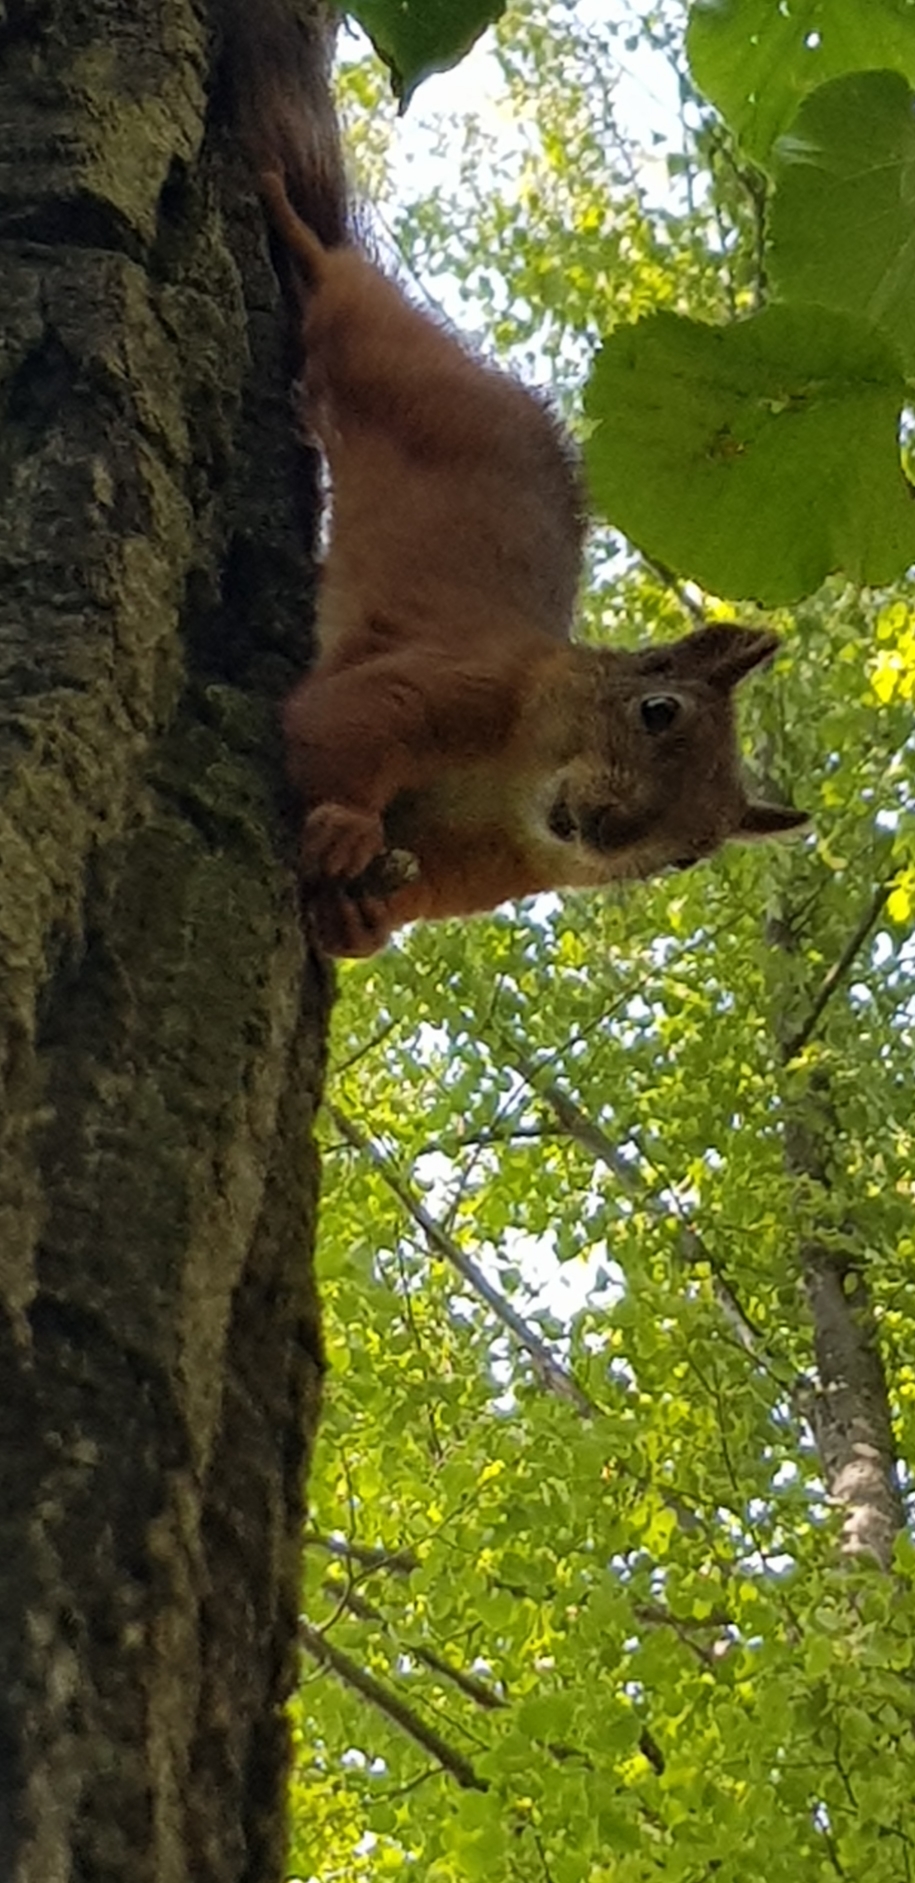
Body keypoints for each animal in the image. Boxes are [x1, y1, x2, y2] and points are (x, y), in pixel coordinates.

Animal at [220, 0, 802, 956]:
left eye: (689, 852)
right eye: (657, 710)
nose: (603, 830)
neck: (516, 781)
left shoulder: (479, 867)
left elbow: (400, 900)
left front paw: (356, 915)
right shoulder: (447, 682)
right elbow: (335, 728)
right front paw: (344, 820)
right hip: (379, 348)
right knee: (340, 282)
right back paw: (296, 227)